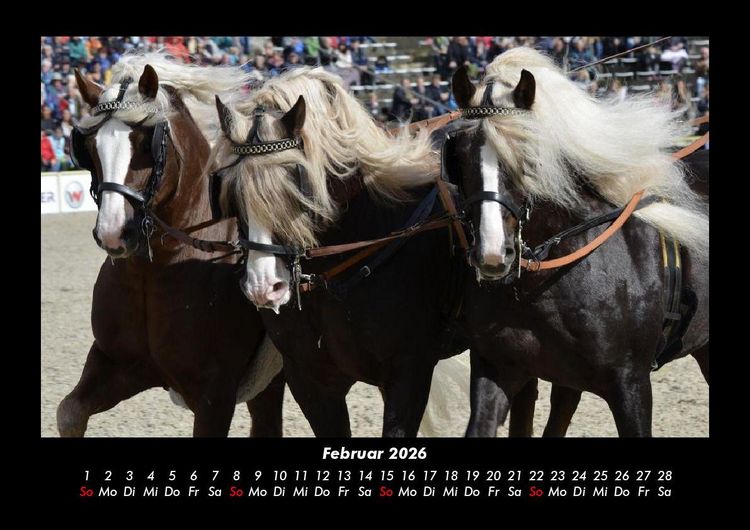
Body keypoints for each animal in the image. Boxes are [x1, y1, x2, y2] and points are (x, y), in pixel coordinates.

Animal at [56, 53, 285, 437]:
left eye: (145, 141)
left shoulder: (214, 395)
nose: (113, 232)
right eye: (89, 147)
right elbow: (69, 413)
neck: (155, 271)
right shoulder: (117, 365)